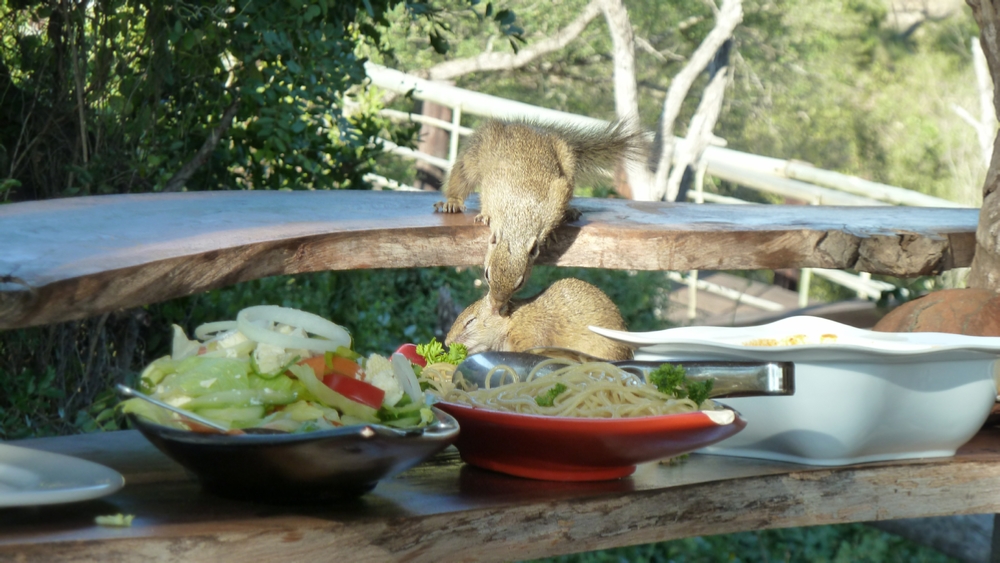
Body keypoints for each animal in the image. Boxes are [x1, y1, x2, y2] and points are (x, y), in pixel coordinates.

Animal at [434, 119, 644, 316]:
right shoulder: (492, 185)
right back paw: (453, 202)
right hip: (475, 153)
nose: (495, 308)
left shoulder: (558, 196)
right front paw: (485, 215)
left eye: (520, 283)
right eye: (486, 274)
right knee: (461, 177)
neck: (519, 218)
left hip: (567, 159)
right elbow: (485, 198)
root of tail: (522, 126)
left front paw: (551, 233)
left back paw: (570, 211)